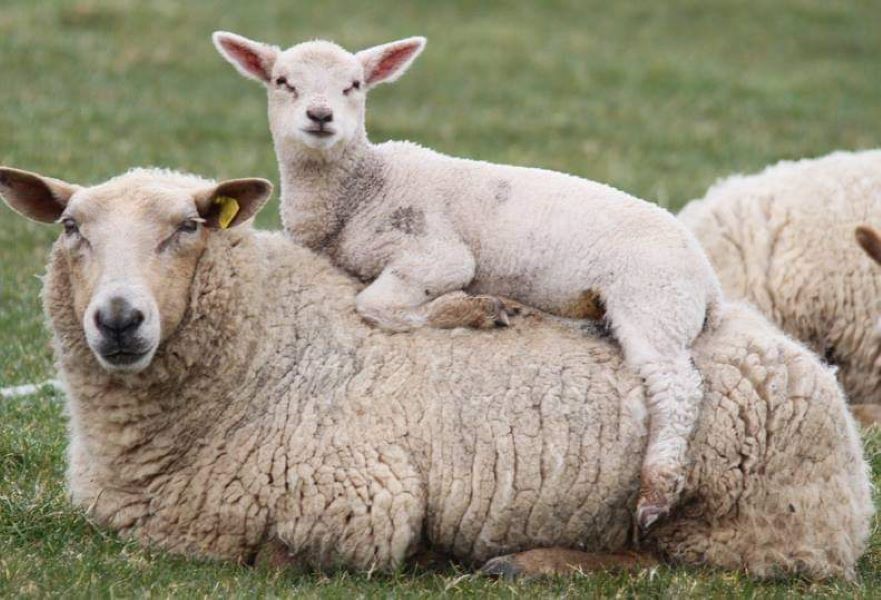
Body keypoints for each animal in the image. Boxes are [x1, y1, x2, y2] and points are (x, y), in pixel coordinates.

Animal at [211, 31, 725, 530]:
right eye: (282, 82)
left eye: (354, 85)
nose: (320, 116)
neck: (360, 190)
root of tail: (706, 276)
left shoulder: (437, 255)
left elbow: (376, 305)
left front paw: (473, 309)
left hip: (652, 299)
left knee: (677, 385)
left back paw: (656, 494)